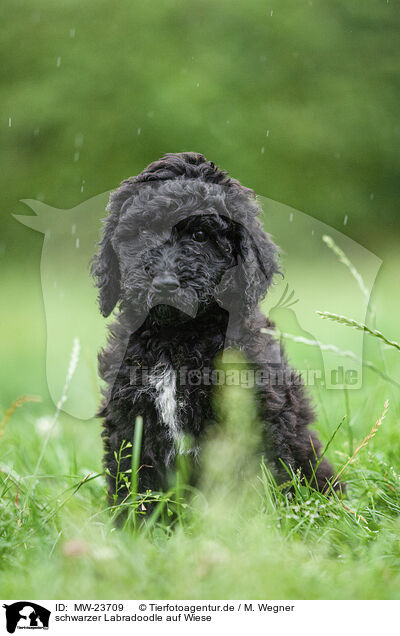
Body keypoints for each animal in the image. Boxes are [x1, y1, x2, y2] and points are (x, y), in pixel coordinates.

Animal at [92, 152, 336, 510]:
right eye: (142, 232)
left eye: (200, 236)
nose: (165, 284)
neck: (176, 338)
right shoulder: (128, 418)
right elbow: (132, 484)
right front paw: (131, 523)